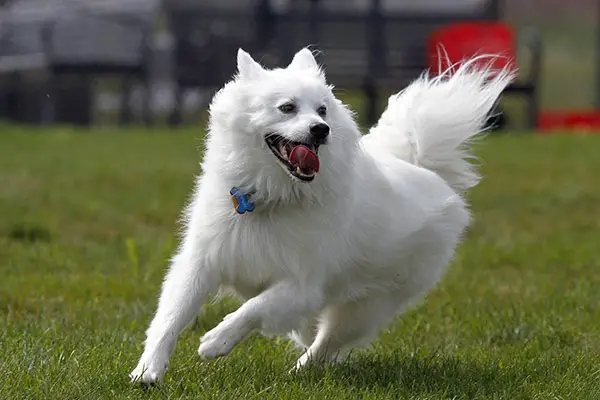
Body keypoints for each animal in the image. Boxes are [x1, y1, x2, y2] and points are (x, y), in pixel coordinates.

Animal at [130, 48, 510, 382]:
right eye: (287, 108)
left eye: (322, 110)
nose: (320, 129)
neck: (270, 196)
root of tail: (420, 167)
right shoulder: (201, 263)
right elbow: (170, 317)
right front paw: (147, 370)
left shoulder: (302, 285)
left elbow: (254, 308)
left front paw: (216, 341)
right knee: (309, 334)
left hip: (365, 306)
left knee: (325, 343)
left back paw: (300, 371)